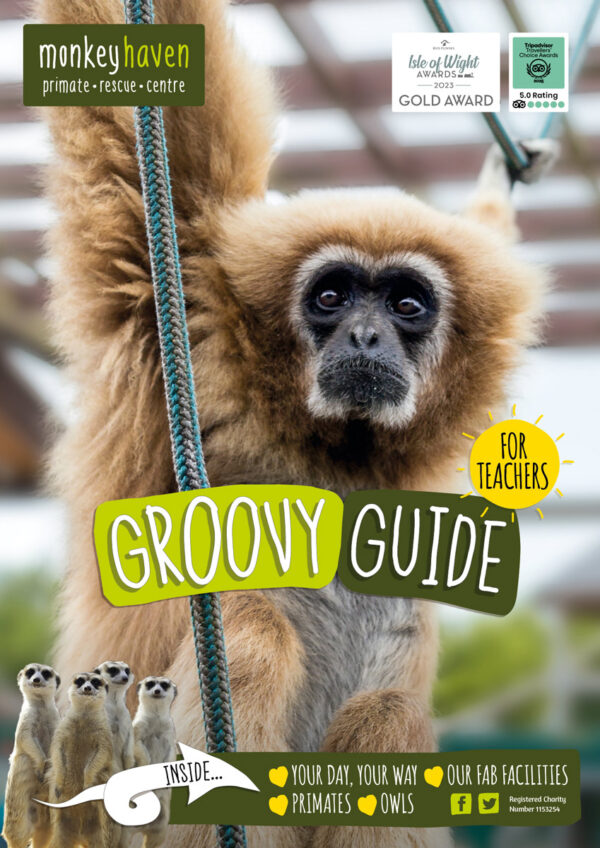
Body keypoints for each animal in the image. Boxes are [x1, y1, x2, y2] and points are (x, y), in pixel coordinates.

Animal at [2, 664, 60, 848]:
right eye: (30, 672)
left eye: (46, 673)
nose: (36, 680)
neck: (41, 707)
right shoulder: (25, 721)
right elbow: (25, 738)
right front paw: (41, 765)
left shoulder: (56, 720)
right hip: (19, 811)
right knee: (18, 834)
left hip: (47, 817)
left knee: (45, 833)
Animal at [47, 672, 114, 848]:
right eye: (80, 681)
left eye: (96, 682)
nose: (87, 688)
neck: (84, 717)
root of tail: (80, 838)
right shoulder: (62, 729)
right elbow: (56, 750)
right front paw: (59, 782)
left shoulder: (104, 735)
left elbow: (102, 754)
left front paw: (88, 784)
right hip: (60, 829)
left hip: (99, 832)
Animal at [132, 677, 178, 848]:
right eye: (150, 684)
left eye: (164, 685)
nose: (157, 691)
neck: (156, 718)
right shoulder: (137, 727)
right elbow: (137, 745)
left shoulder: (170, 730)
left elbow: (171, 750)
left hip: (162, 820)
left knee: (156, 836)